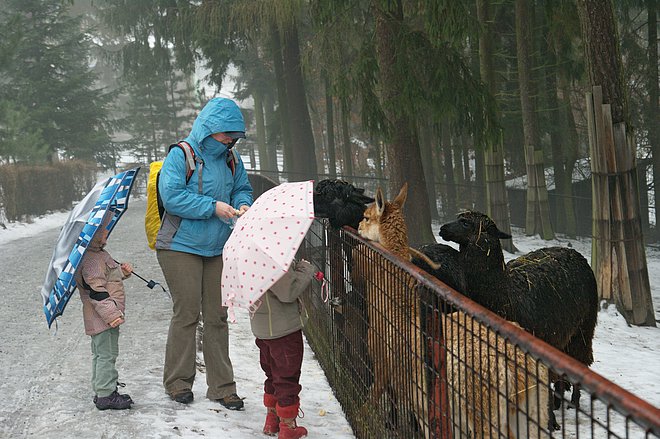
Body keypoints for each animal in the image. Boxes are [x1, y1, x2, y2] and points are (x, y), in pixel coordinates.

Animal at [440, 211, 600, 432]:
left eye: (465, 222)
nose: (442, 229)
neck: (507, 296)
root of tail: (575, 253)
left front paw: (550, 422)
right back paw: (558, 400)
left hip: (583, 328)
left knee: (580, 360)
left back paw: (572, 402)